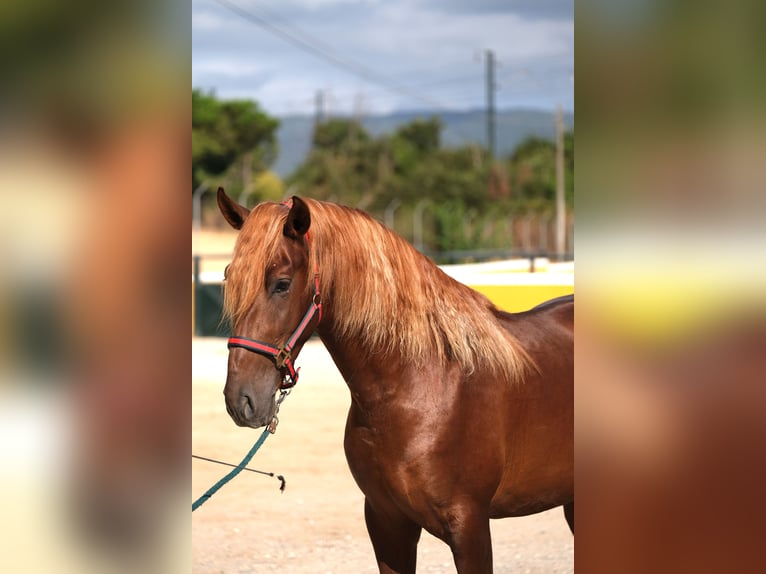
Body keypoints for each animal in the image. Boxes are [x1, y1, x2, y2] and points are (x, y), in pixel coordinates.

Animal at [216, 187, 573, 574]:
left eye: (281, 284)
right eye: (229, 278)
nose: (241, 400)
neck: (420, 386)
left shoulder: (470, 527)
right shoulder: (387, 523)